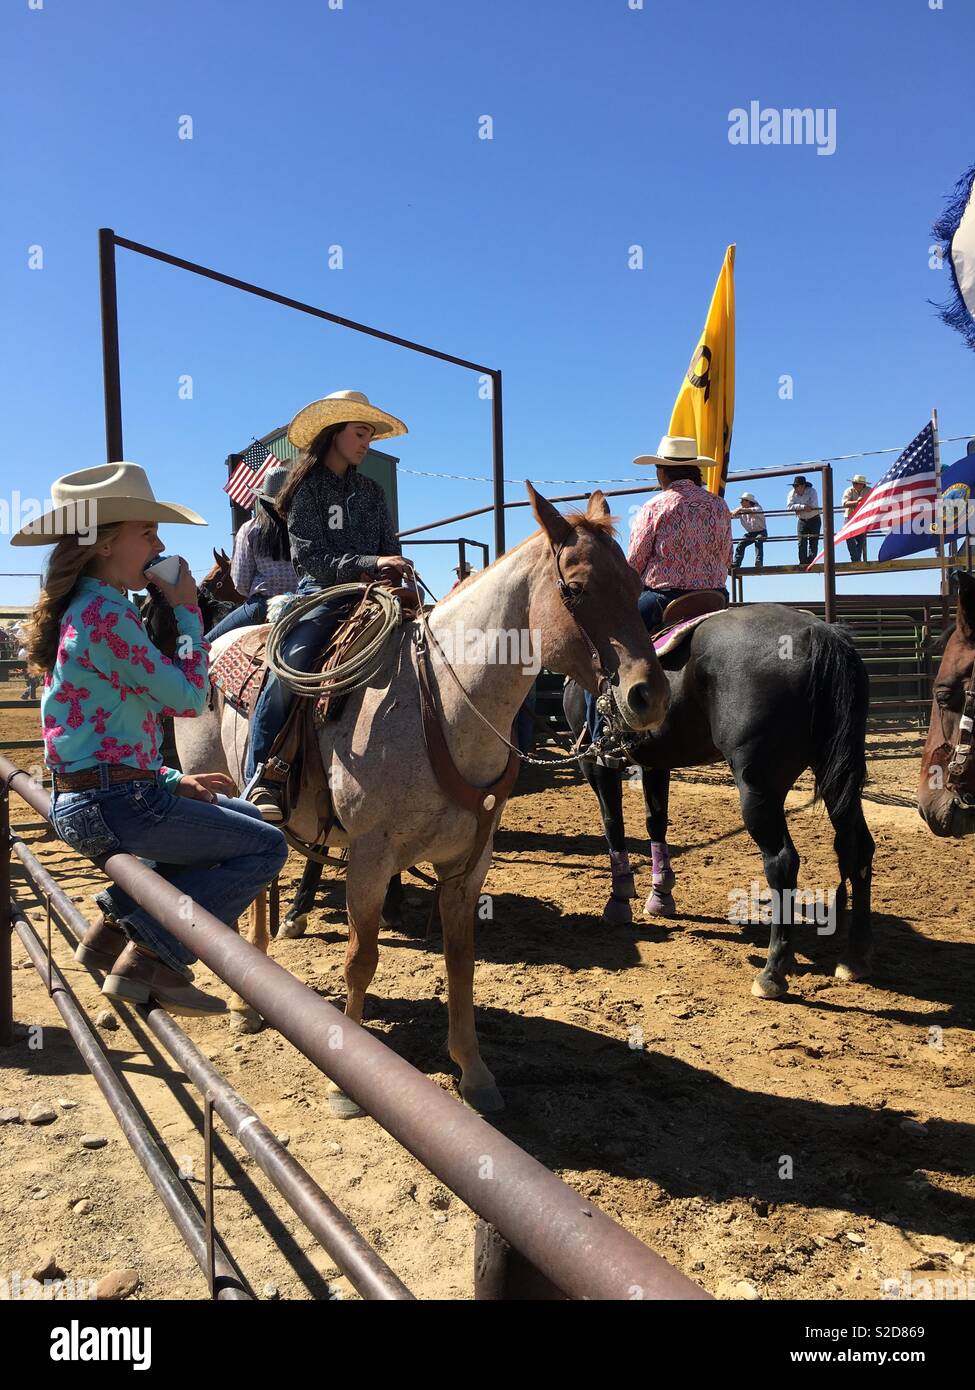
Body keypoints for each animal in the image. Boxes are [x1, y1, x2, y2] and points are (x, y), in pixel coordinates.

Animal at [561, 608, 873, 1000]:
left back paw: (772, 972)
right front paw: (660, 895)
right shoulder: (656, 762)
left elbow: (612, 824)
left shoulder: (596, 762)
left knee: (783, 861)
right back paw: (854, 958)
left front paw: (619, 900)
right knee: (857, 848)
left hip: (758, 787)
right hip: (837, 774)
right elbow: (655, 821)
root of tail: (817, 633)